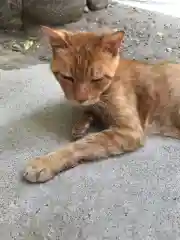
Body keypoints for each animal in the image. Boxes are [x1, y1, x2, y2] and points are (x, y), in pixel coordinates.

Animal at [23, 26, 180, 183]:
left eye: (96, 79)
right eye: (68, 77)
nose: (80, 99)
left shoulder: (129, 130)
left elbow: (82, 144)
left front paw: (46, 162)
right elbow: (88, 112)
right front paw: (81, 124)